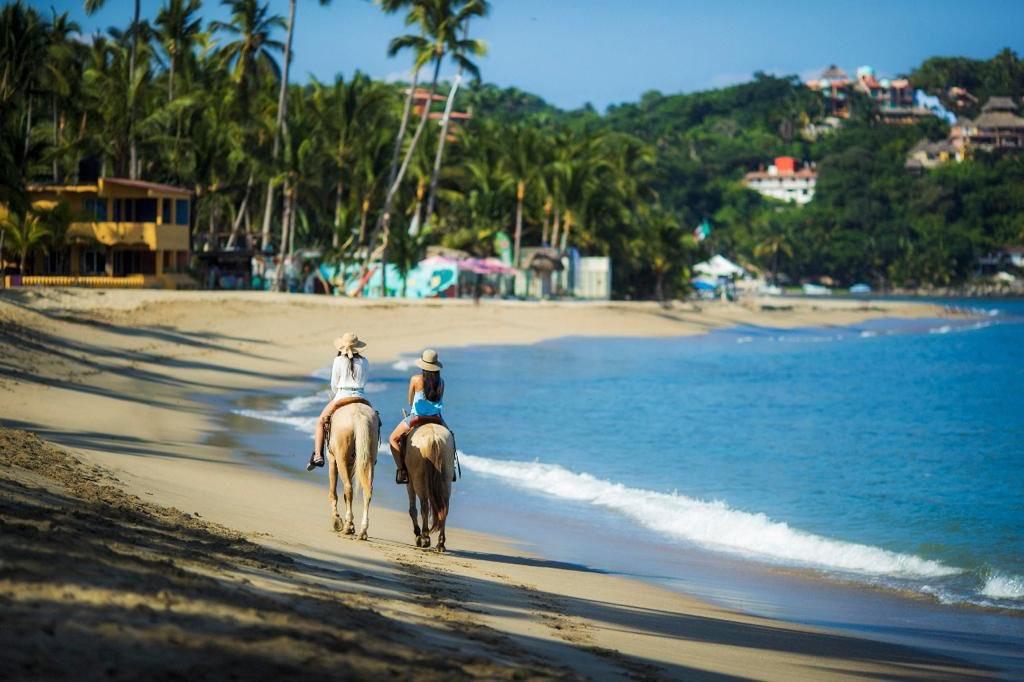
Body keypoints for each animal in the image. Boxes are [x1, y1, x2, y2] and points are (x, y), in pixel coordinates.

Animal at [327, 401, 380, 540]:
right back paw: (363, 531)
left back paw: (347, 526)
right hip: (370, 459)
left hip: (341, 459)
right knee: (367, 491)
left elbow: (333, 493)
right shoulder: (350, 465)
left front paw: (337, 520)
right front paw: (351, 526)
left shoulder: (332, 460)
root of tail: (358, 415)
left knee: (348, 488)